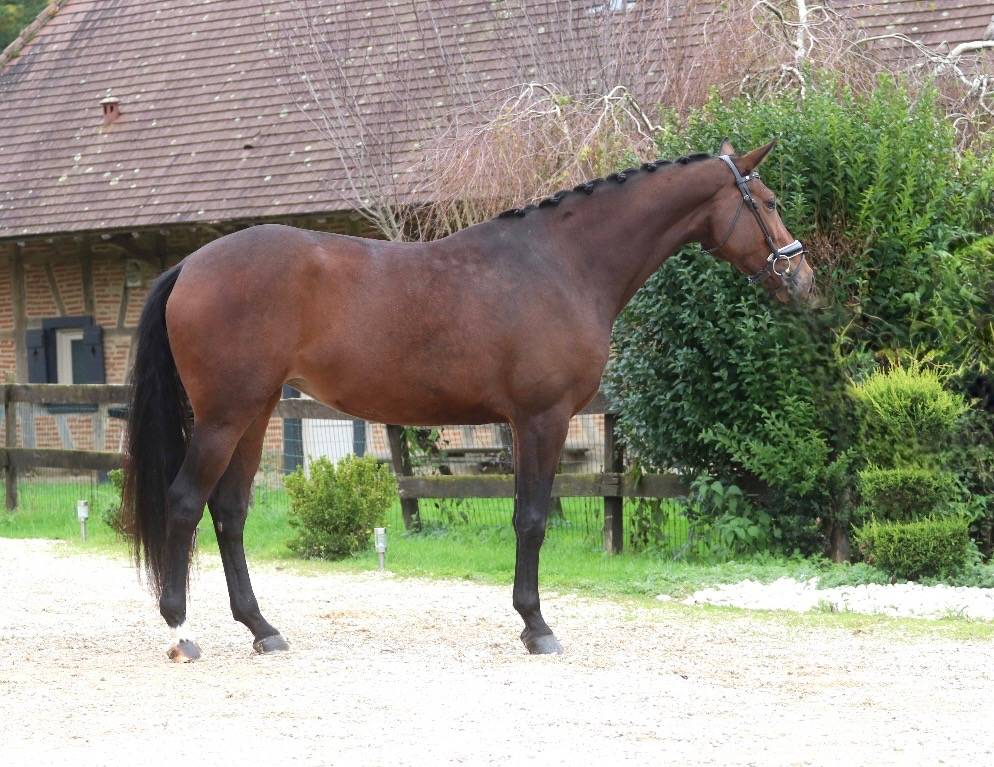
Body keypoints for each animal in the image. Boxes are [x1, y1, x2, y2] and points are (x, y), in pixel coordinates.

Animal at [122, 139, 814, 661]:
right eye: (769, 203)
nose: (803, 280)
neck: (562, 264)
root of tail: (190, 265)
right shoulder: (541, 420)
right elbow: (531, 520)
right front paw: (537, 628)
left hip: (256, 411)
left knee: (229, 511)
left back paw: (262, 629)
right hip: (224, 416)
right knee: (185, 503)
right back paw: (181, 631)